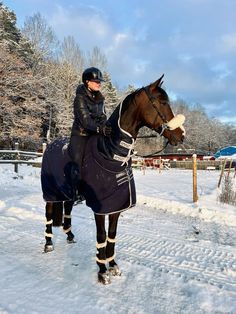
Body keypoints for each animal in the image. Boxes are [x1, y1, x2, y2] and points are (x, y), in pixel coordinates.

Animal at [40, 75, 185, 284]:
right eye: (163, 102)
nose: (181, 135)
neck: (109, 153)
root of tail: (49, 145)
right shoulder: (100, 208)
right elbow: (101, 236)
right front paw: (102, 271)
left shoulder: (116, 206)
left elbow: (112, 235)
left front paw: (113, 265)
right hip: (50, 193)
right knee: (49, 216)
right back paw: (48, 243)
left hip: (67, 193)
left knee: (67, 212)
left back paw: (70, 235)